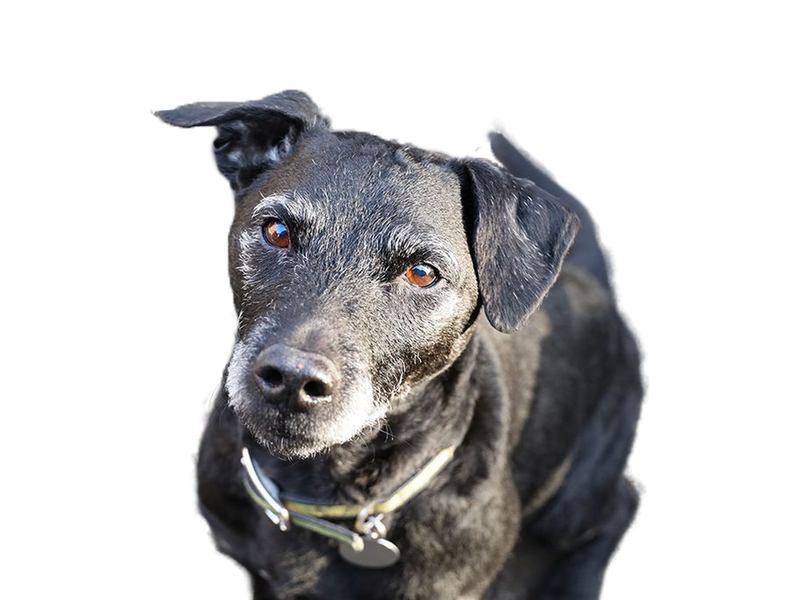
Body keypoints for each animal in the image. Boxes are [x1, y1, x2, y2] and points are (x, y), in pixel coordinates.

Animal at [153, 89, 648, 600]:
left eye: (422, 272)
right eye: (277, 230)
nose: (291, 379)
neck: (327, 490)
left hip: (575, 501)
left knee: (623, 504)